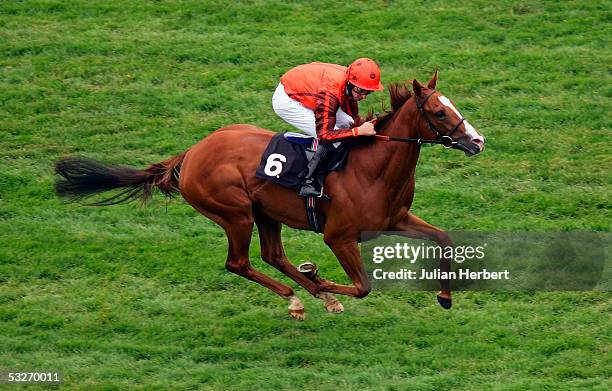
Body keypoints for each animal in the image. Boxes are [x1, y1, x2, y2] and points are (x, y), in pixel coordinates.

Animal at [55, 71, 486, 322]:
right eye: (440, 112)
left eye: (452, 106)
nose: (477, 141)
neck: (372, 167)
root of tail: (191, 153)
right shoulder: (338, 237)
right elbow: (363, 286)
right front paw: (321, 280)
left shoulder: (395, 219)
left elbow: (444, 239)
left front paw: (445, 297)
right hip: (236, 213)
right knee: (239, 263)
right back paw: (299, 297)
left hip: (266, 212)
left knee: (272, 255)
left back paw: (309, 292)